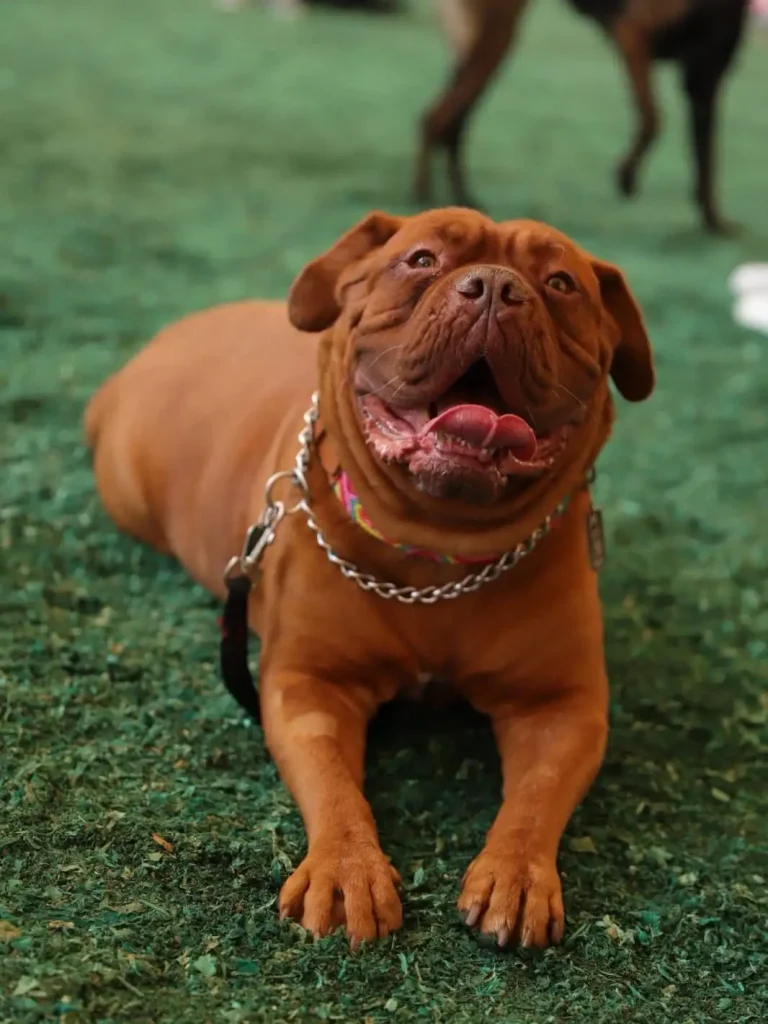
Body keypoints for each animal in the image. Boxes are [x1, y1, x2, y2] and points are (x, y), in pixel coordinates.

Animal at [86, 207, 654, 949]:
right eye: (421, 259)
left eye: (560, 282)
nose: (495, 287)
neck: (437, 554)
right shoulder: (309, 687)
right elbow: (334, 787)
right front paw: (346, 869)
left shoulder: (562, 706)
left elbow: (536, 798)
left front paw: (517, 873)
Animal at [418, 0, 750, 234]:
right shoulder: (632, 34)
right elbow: (653, 117)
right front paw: (626, 175)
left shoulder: (704, 84)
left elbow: (705, 163)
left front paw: (714, 222)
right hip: (495, 37)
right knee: (437, 118)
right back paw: (423, 198)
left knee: (450, 122)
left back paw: (461, 201)